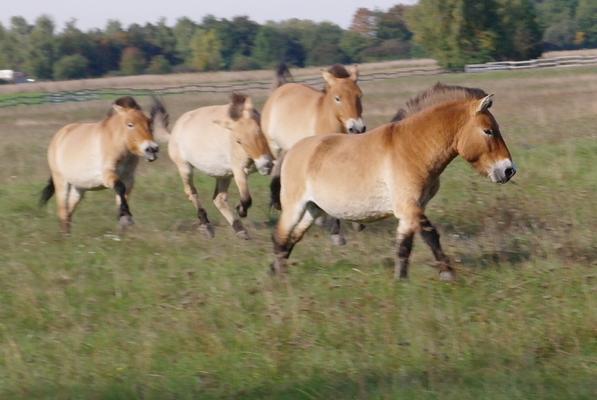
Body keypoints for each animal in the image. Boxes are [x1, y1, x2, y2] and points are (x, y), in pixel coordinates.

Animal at [262, 63, 366, 244]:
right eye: (337, 98)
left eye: (359, 96)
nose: (357, 128)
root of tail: (281, 89)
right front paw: (336, 233)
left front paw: (354, 224)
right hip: (275, 147)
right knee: (274, 172)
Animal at [272, 83, 516, 280]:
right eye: (488, 131)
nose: (509, 170)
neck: (412, 148)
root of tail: (292, 151)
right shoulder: (409, 206)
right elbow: (431, 235)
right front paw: (447, 273)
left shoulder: (410, 211)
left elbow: (404, 247)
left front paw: (401, 280)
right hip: (294, 207)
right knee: (280, 237)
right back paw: (280, 277)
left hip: (312, 209)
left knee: (292, 238)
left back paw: (276, 271)